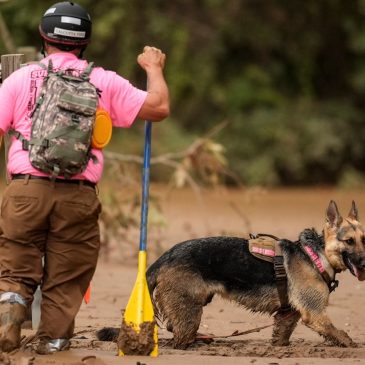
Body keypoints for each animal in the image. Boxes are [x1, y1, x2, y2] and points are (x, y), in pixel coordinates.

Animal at [96, 200, 364, 348]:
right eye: (349, 241)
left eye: (364, 239)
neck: (316, 254)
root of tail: (162, 259)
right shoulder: (315, 314)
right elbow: (340, 334)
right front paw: (352, 346)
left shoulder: (289, 315)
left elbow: (282, 334)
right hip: (190, 311)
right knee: (178, 337)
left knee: (173, 328)